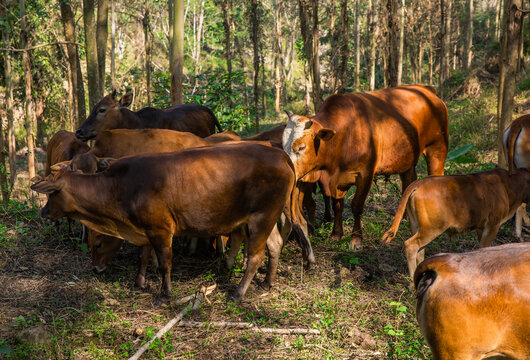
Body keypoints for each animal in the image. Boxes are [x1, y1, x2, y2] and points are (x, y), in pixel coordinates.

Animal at [32, 143, 306, 300]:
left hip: (262, 218)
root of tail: (282, 155)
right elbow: (142, 257)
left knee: (255, 256)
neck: (118, 187)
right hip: (265, 218)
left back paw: (239, 293)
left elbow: (164, 264)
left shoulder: (161, 230)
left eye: (98, 243)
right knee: (275, 245)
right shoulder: (144, 229)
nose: (43, 212)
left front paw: (165, 294)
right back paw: (267, 283)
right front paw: (140, 283)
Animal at [280, 84, 446, 249]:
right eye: (283, 145)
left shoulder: (365, 174)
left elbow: (356, 206)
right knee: (409, 181)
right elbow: (337, 206)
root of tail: (427, 90)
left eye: (301, 147)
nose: (289, 173)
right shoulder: (335, 182)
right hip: (406, 160)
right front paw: (336, 234)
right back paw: (405, 215)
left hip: (437, 149)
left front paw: (356, 239)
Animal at [382, 167, 528, 280]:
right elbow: (485, 247)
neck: (508, 185)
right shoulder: (493, 224)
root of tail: (418, 183)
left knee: (420, 250)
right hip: (431, 229)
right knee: (411, 245)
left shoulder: (481, 227)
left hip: (417, 227)